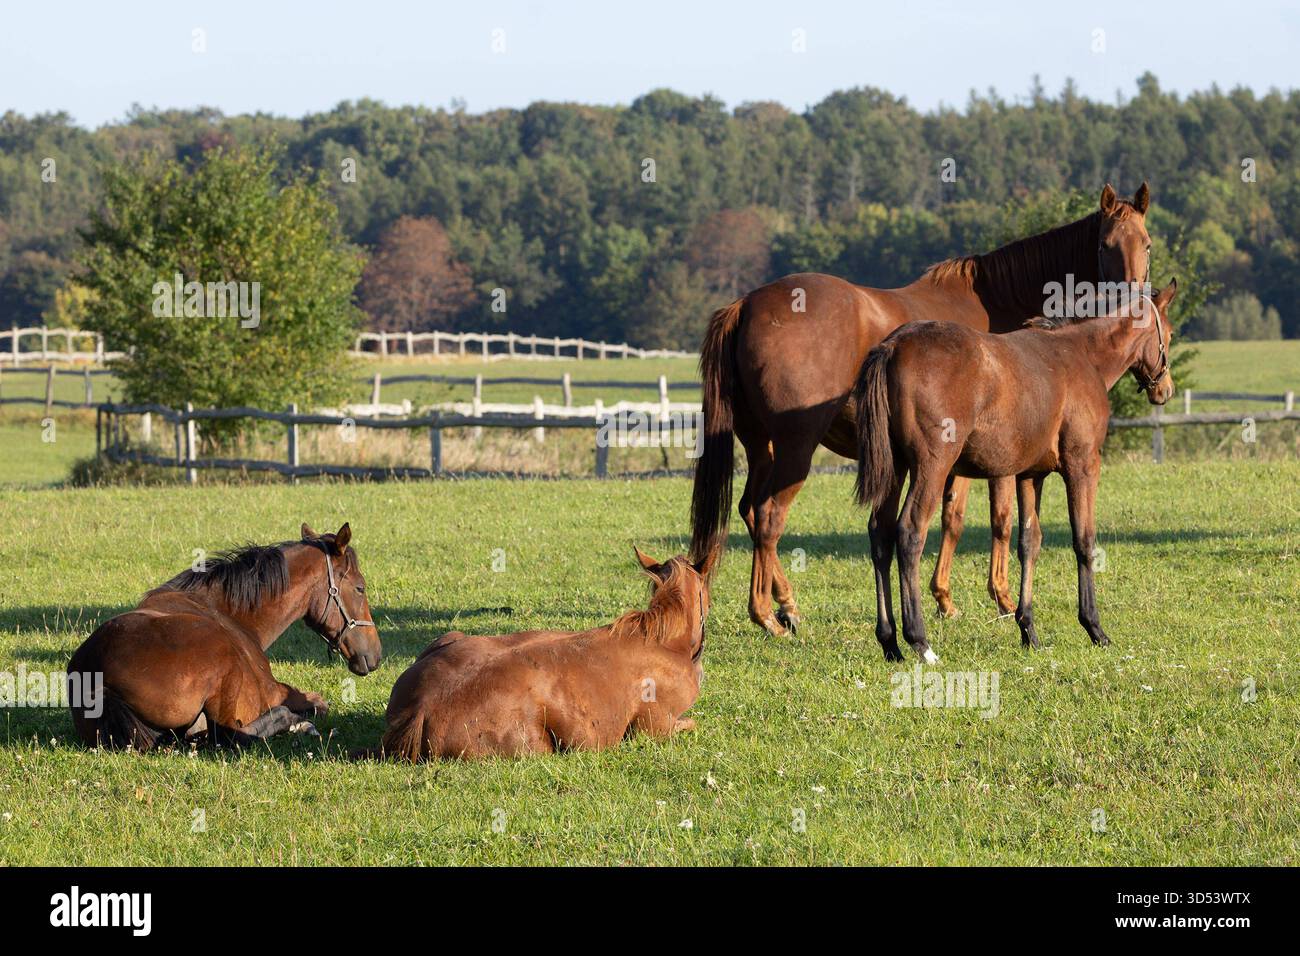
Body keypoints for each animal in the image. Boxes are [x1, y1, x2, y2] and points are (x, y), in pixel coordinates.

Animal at [67, 523, 381, 750]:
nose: (375, 655)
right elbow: (318, 704)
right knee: (228, 736)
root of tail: (99, 676)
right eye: (360, 588)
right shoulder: (273, 691)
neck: (226, 613)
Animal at [690, 183, 1154, 636]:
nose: (1132, 302)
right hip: (796, 448)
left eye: (1146, 244)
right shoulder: (993, 457)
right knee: (770, 517)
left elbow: (957, 519)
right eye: (1106, 245)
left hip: (761, 446)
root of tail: (746, 305)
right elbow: (989, 519)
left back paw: (773, 603)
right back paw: (770, 613)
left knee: (750, 511)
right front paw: (997, 599)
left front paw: (948, 597)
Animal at [852, 281, 1178, 662]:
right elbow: (1084, 541)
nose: (1165, 390)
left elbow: (1028, 543)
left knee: (881, 535)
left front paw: (1028, 630)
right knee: (909, 533)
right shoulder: (1082, 466)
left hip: (897, 469)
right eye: (1170, 333)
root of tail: (892, 346)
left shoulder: (1029, 475)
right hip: (931, 467)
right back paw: (920, 641)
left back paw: (890, 642)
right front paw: (1094, 627)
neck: (1080, 354)